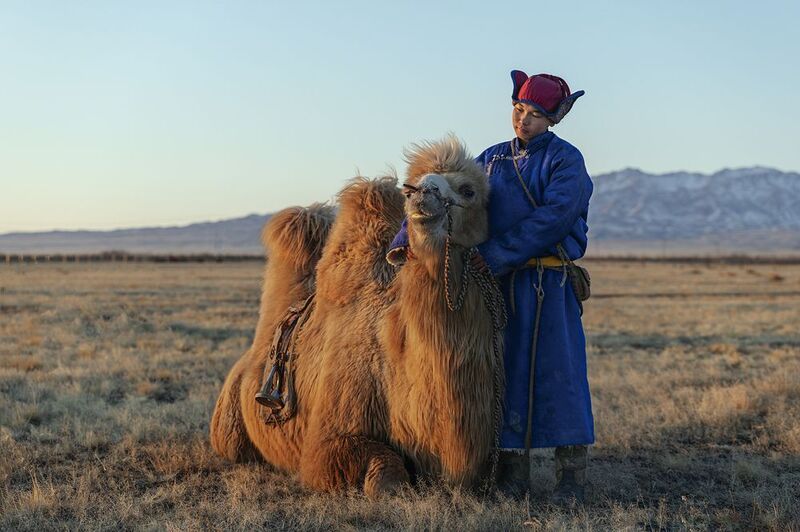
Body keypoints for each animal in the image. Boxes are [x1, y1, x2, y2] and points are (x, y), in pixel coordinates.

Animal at [210, 136, 504, 497]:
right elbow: (386, 474)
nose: (421, 192)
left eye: (468, 190)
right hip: (228, 426)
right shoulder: (330, 437)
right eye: (412, 184)